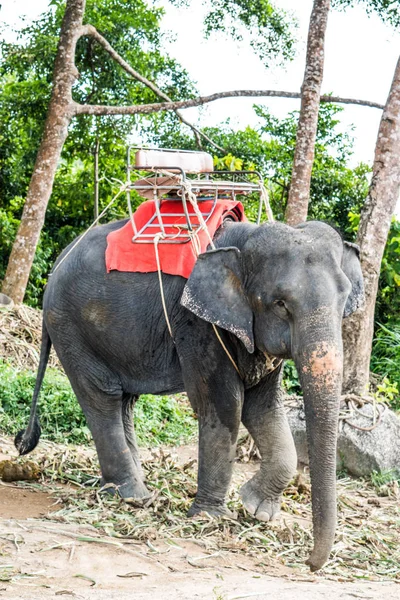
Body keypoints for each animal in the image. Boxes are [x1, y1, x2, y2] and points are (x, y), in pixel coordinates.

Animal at [16, 219, 362, 572]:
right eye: (280, 303)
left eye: (344, 298)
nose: (309, 563)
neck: (246, 239)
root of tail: (57, 265)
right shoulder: (198, 324)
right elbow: (225, 403)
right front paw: (212, 517)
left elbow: (263, 406)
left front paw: (256, 511)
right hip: (71, 328)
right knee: (102, 396)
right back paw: (132, 497)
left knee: (124, 402)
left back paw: (135, 491)